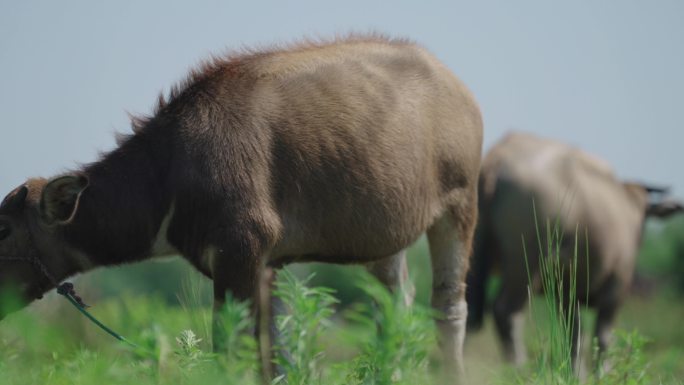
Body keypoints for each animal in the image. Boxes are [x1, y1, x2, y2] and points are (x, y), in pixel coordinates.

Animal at [0, 35, 484, 380]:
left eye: (3, 230)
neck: (169, 171)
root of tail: (456, 86)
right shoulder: (263, 265)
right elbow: (272, 351)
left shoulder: (240, 254)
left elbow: (232, 347)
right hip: (385, 240)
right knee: (394, 306)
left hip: (460, 206)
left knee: (449, 305)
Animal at [468, 133, 680, 368]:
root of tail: (499, 158)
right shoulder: (617, 284)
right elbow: (603, 337)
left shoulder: (568, 293)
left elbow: (575, 335)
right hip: (524, 266)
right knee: (506, 311)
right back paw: (519, 367)